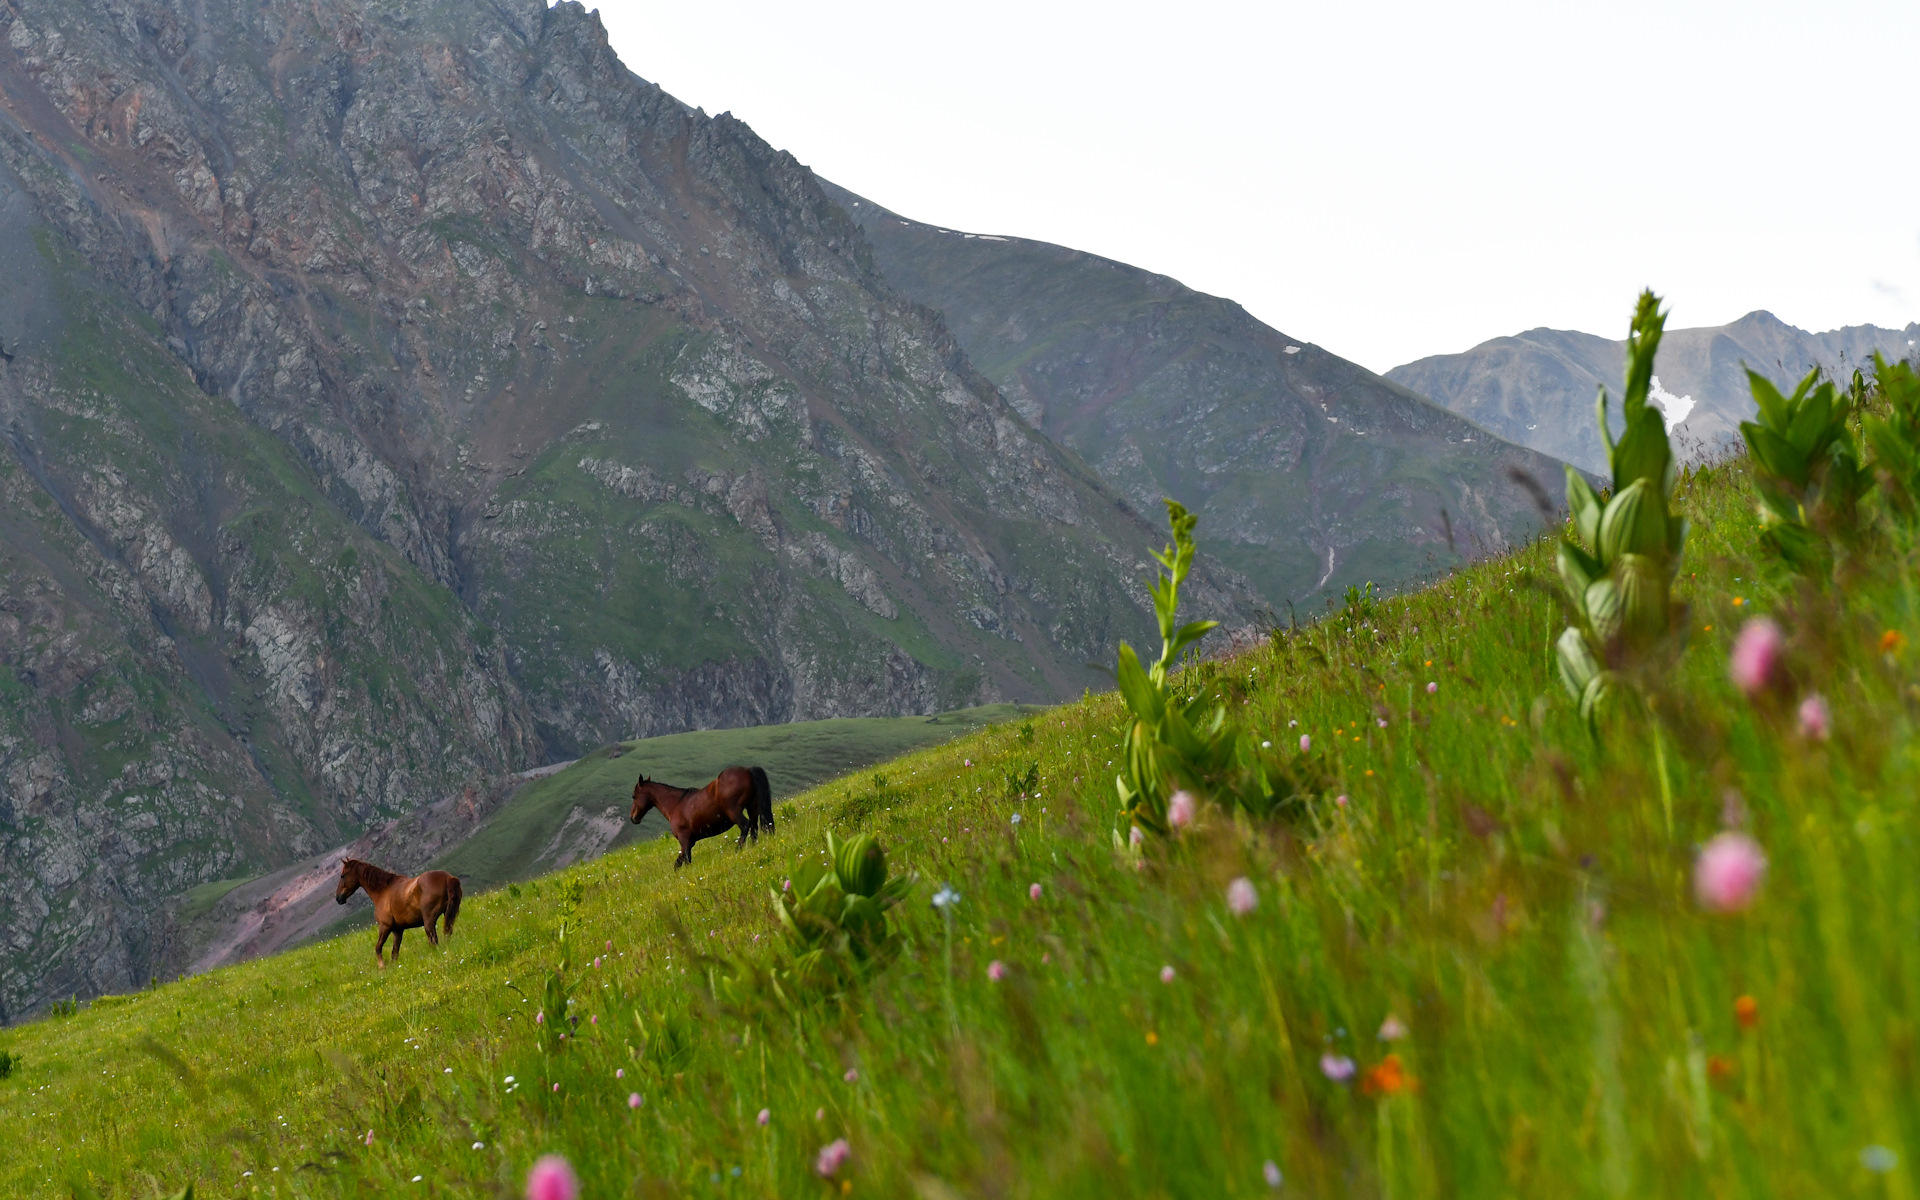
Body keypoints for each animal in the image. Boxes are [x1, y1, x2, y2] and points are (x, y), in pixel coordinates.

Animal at [633, 764, 775, 864]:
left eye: (634, 796)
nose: (633, 818)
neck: (676, 804)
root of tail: (748, 770)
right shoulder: (690, 842)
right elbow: (679, 863)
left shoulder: (684, 840)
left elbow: (684, 861)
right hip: (752, 809)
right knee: (754, 828)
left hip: (734, 812)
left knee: (745, 825)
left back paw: (738, 849)